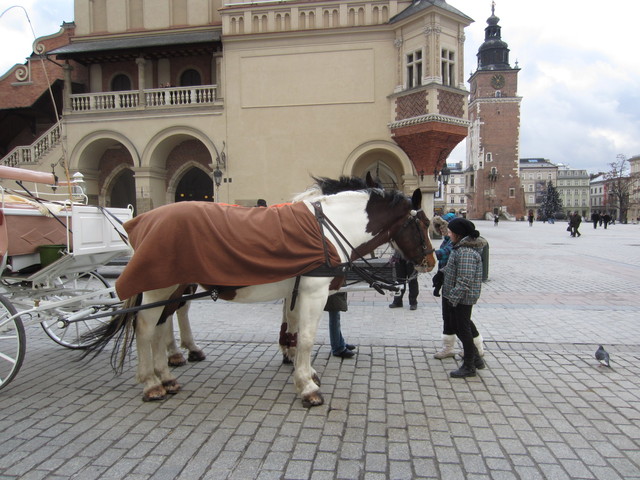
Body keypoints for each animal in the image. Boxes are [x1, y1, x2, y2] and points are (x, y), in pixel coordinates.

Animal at [84, 176, 436, 408]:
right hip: (159, 288)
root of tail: (142, 222)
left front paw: (301, 368)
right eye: (424, 224)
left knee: (161, 327)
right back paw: (151, 382)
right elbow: (307, 337)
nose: (431, 262)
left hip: (174, 288)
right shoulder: (313, 292)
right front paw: (306, 385)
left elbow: (293, 332)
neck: (326, 227)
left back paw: (167, 375)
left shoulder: (295, 291)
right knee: (145, 329)